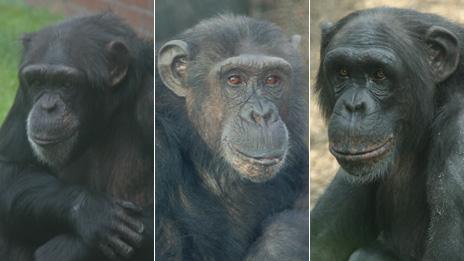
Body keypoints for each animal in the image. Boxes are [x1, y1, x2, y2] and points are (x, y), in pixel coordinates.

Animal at [0, 13, 154, 258]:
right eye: (37, 82)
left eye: (67, 83)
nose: (48, 107)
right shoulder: (23, 97)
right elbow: (8, 167)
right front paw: (92, 212)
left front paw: (64, 250)